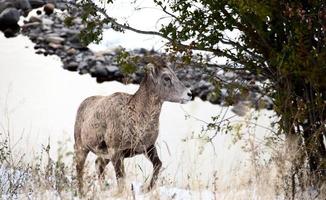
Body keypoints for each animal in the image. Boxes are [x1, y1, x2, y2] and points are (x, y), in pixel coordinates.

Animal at [74, 57, 192, 195]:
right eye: (166, 78)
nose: (189, 94)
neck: (137, 117)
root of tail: (83, 104)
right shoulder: (116, 153)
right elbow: (121, 181)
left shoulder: (148, 148)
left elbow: (158, 164)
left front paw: (146, 189)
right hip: (81, 148)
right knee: (80, 169)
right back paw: (82, 193)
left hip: (104, 155)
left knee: (99, 165)